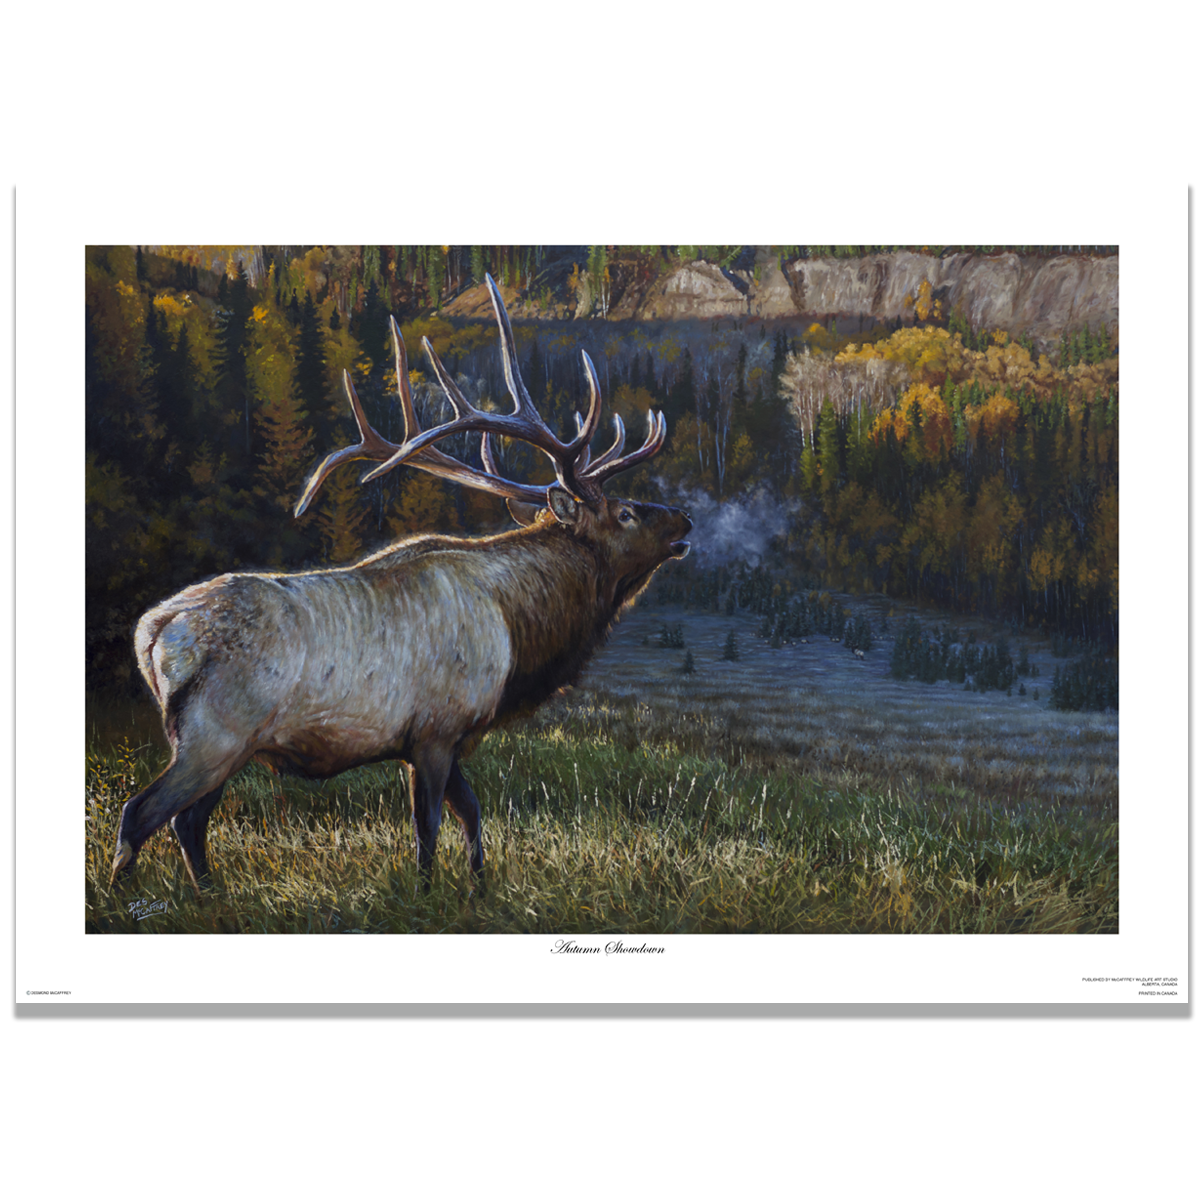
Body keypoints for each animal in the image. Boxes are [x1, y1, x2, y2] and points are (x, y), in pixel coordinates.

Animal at [111, 275, 692, 895]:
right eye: (626, 513)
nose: (684, 520)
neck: (519, 631)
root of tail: (153, 629)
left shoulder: (441, 740)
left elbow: (472, 814)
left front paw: (478, 887)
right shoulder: (436, 731)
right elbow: (429, 827)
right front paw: (427, 893)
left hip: (217, 744)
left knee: (188, 820)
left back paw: (207, 895)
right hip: (215, 733)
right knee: (144, 812)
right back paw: (128, 897)